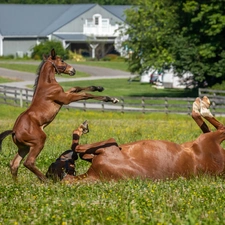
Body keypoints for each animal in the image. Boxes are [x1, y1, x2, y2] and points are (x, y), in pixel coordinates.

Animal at [53, 96, 224, 184]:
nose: (68, 155)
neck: (95, 174)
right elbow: (78, 149)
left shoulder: (108, 145)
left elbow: (78, 148)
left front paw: (81, 129)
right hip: (206, 140)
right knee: (215, 127)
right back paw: (201, 105)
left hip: (206, 139)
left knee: (216, 127)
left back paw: (202, 104)